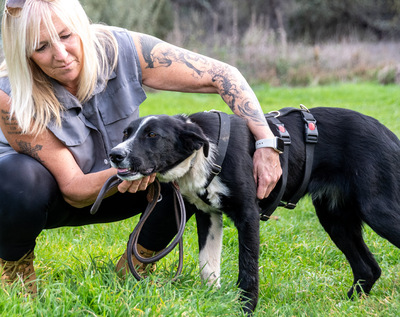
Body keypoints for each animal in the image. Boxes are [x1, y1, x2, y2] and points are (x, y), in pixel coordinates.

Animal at [108, 107, 400, 312]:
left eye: (152, 135)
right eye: (126, 133)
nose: (114, 155)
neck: (206, 151)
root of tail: (388, 133)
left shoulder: (248, 216)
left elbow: (247, 267)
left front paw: (246, 308)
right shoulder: (208, 216)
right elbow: (208, 264)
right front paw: (212, 300)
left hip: (378, 210)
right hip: (335, 220)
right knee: (369, 268)